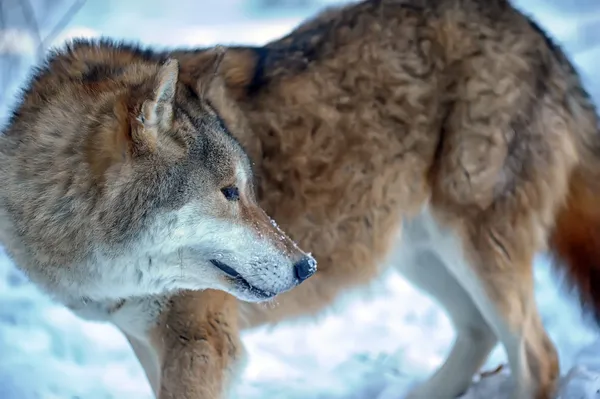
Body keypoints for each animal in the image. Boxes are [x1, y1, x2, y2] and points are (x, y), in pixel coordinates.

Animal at [3, 0, 600, 398]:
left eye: (247, 188)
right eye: (229, 192)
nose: (306, 266)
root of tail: (536, 30)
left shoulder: (202, 343)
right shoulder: (148, 340)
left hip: (473, 248)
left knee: (539, 357)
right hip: (414, 254)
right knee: (477, 332)